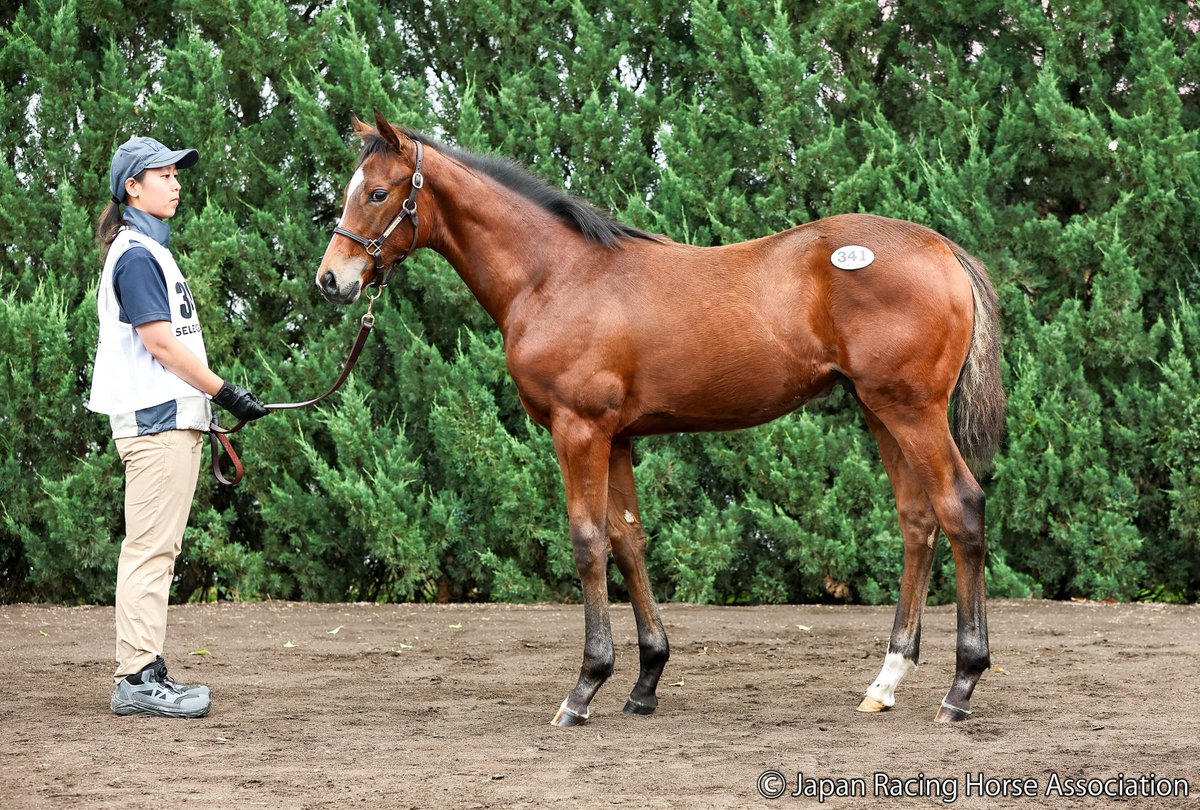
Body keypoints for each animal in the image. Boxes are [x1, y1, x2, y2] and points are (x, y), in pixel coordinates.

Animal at [316, 111, 1006, 726]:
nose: (331, 280)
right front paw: (645, 680)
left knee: (961, 507)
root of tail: (942, 248)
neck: (555, 275)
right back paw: (885, 682)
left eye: (378, 192)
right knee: (918, 521)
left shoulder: (579, 429)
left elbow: (588, 543)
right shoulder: (617, 437)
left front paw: (584, 688)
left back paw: (961, 686)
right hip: (880, 410)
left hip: (911, 410)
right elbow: (629, 541)